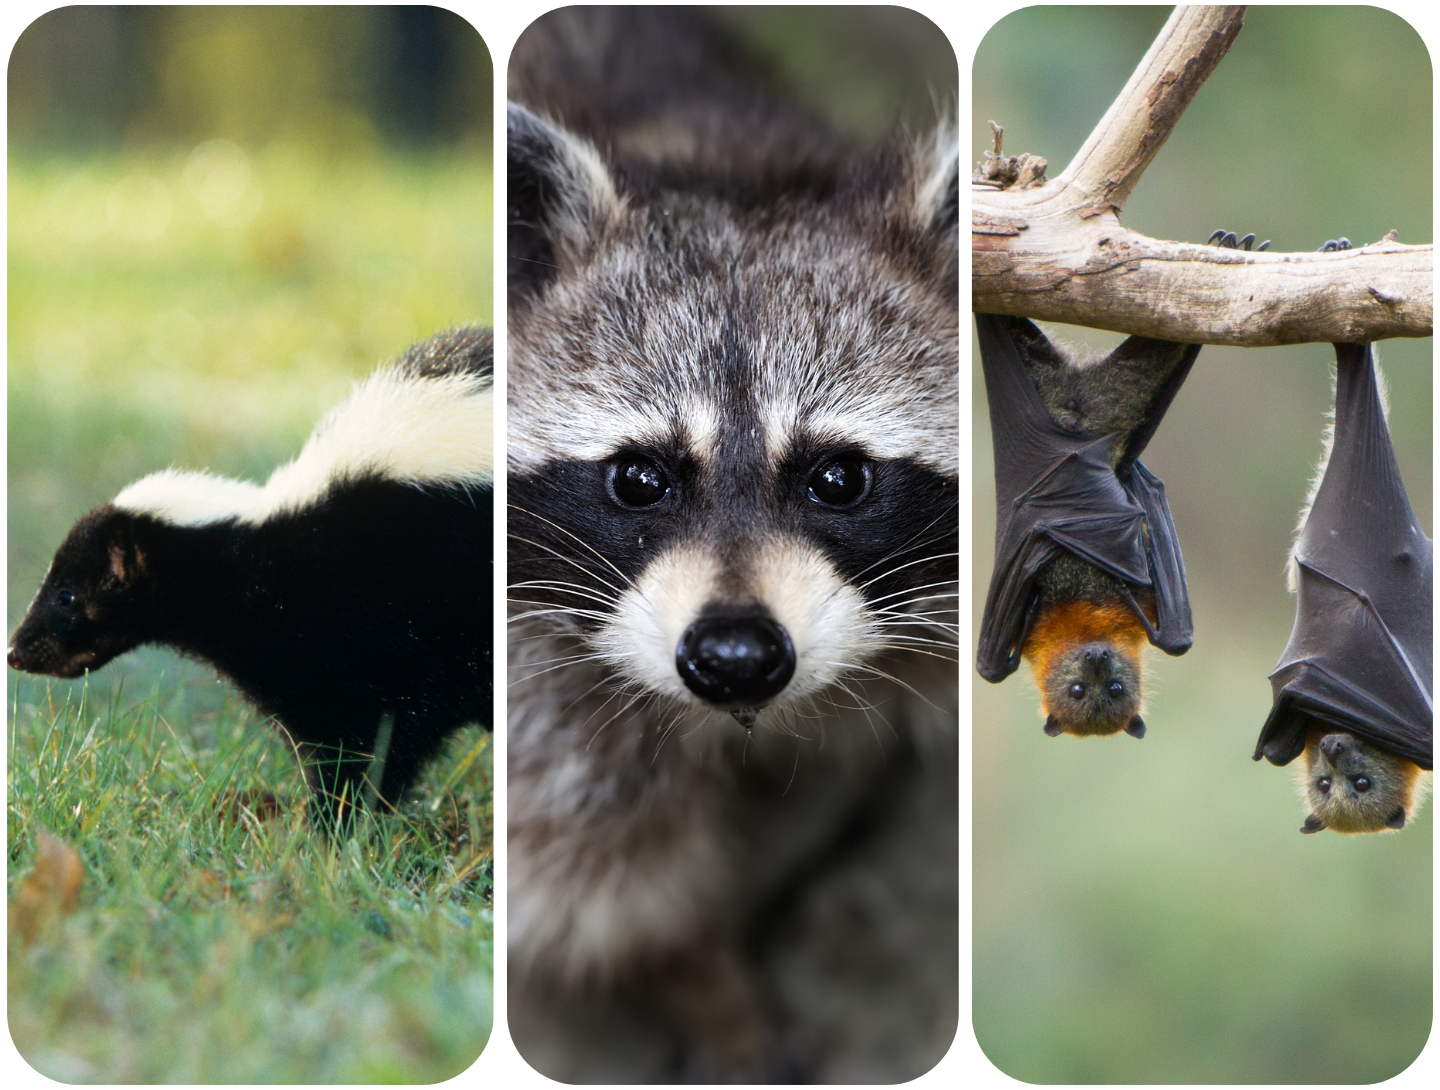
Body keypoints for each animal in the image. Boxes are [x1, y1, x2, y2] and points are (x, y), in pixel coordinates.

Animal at [506, 8, 958, 1081]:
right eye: (639, 478)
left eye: (839, 478)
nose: (736, 657)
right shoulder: (537, 672)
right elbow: (592, 889)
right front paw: (708, 986)